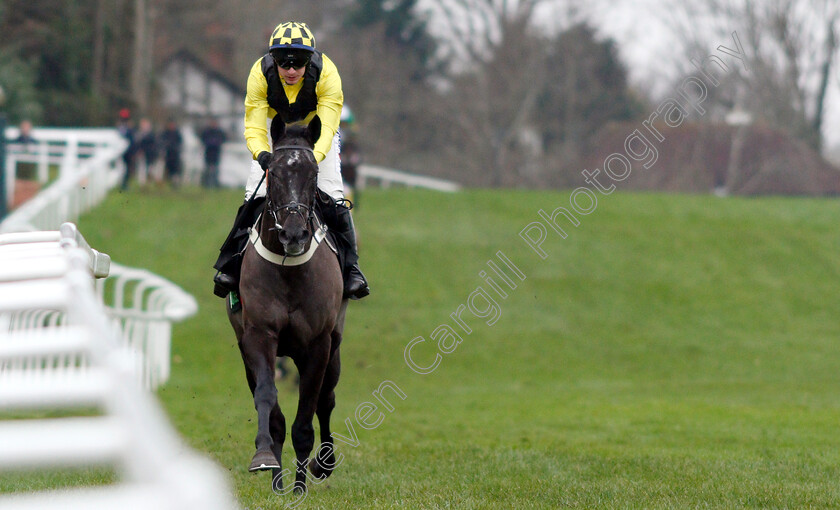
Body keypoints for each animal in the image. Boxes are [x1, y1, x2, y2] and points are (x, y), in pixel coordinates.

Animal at [226, 115, 344, 494]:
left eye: (313, 173)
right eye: (273, 172)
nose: (294, 234)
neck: (289, 270)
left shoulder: (319, 344)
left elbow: (308, 413)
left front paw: (301, 487)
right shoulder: (257, 336)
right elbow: (267, 398)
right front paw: (266, 460)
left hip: (335, 345)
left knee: (327, 399)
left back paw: (322, 464)